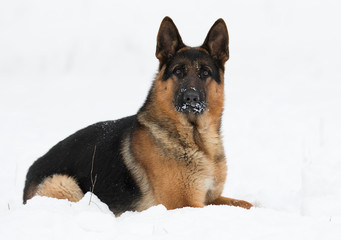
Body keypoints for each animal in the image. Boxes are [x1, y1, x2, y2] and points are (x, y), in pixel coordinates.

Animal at [23, 17, 251, 216]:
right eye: (178, 71)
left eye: (205, 73)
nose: (191, 98)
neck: (195, 138)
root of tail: (29, 173)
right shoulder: (185, 204)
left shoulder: (211, 197)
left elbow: (245, 204)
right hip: (65, 184)